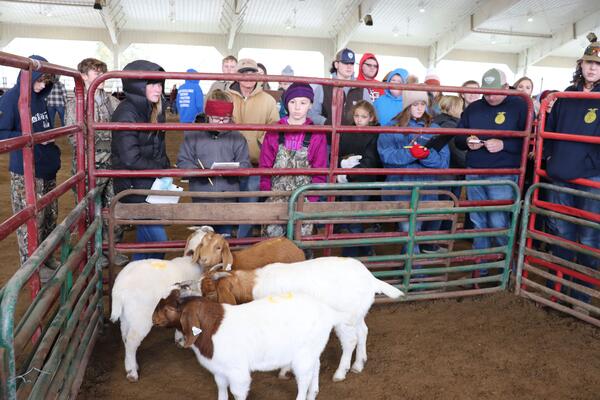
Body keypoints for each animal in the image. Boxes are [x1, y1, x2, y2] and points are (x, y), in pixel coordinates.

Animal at [152, 290, 344, 400]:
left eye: (169, 309)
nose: (153, 319)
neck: (211, 328)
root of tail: (328, 312)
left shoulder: (237, 372)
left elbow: (237, 393)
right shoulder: (219, 370)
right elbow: (221, 389)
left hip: (303, 356)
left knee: (304, 379)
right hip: (312, 349)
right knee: (315, 368)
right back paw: (314, 394)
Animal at [176, 256, 406, 382]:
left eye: (210, 291)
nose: (184, 289)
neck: (254, 284)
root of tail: (371, 279)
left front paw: (284, 369)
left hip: (344, 317)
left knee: (350, 341)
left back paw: (341, 372)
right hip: (357, 312)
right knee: (363, 331)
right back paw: (359, 364)